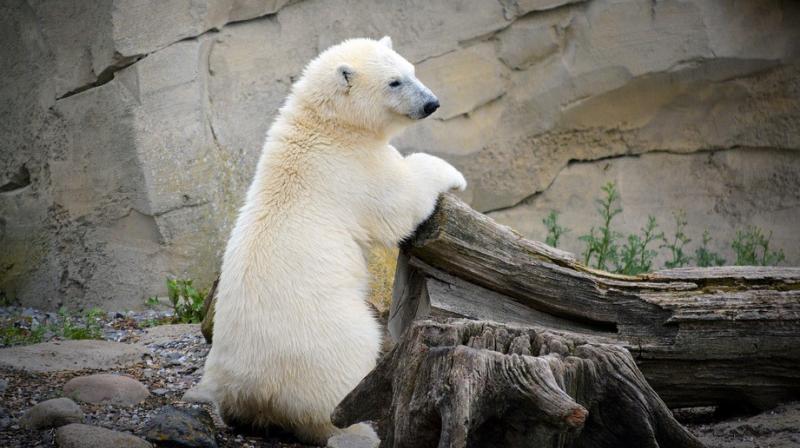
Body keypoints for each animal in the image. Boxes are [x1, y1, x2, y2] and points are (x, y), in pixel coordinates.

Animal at [196, 36, 466, 442]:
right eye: (394, 82)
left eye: (412, 70)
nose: (431, 103)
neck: (326, 127)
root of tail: (256, 389)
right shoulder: (353, 168)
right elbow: (400, 201)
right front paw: (453, 174)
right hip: (327, 340)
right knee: (344, 380)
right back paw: (362, 430)